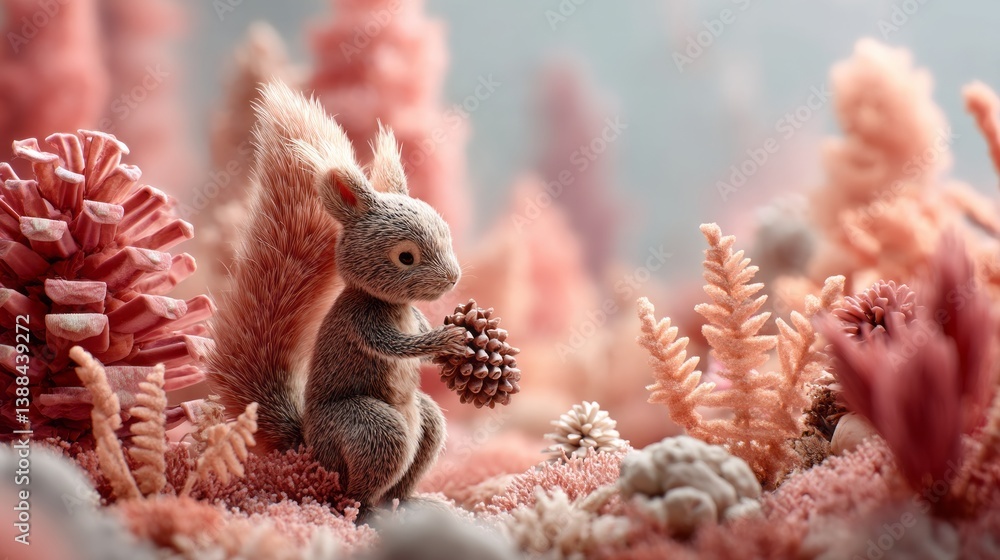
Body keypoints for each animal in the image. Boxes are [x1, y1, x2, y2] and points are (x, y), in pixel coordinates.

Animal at [207, 82, 467, 511]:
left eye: (446, 231)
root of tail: (309, 448)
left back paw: (411, 502)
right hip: (370, 428)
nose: (452, 278)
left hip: (424, 421)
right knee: (357, 487)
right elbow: (394, 344)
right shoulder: (360, 321)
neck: (392, 304)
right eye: (405, 256)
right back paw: (363, 509)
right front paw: (448, 339)